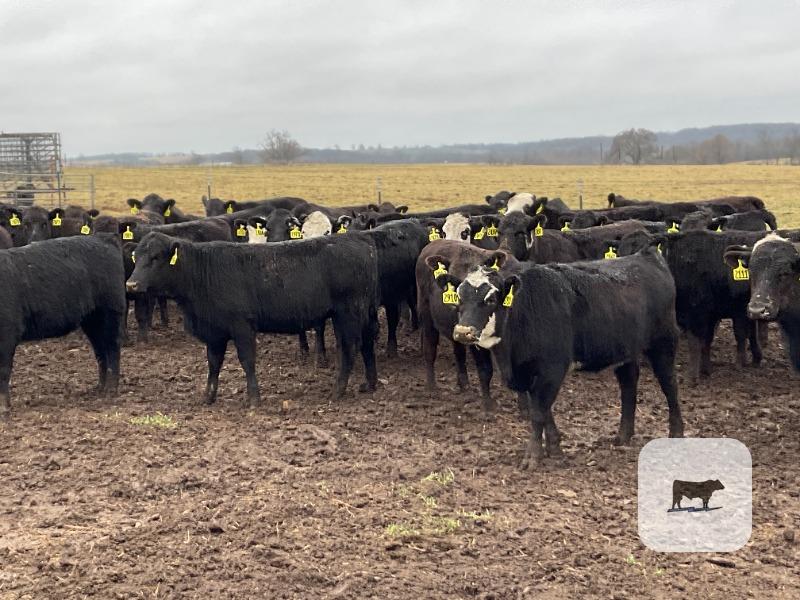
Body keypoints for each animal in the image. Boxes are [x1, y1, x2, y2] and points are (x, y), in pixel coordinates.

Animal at [0, 236, 125, 415]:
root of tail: (104, 239)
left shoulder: (7, 334)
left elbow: (3, 370)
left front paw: (3, 408)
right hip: (91, 320)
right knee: (100, 351)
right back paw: (99, 388)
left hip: (110, 312)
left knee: (112, 347)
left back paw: (110, 389)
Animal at [126, 233, 380, 406]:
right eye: (135, 257)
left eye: (156, 257)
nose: (131, 284)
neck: (202, 272)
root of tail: (359, 239)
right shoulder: (215, 332)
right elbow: (213, 363)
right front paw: (208, 396)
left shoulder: (242, 326)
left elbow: (247, 361)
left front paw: (253, 399)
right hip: (361, 313)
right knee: (366, 343)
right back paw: (369, 384)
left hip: (348, 313)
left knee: (349, 348)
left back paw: (337, 391)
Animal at [447, 247, 684, 467]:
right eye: (459, 297)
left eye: (490, 299)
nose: (462, 332)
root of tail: (646, 254)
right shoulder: (531, 374)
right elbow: (543, 410)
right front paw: (554, 448)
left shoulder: (552, 369)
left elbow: (538, 412)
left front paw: (533, 457)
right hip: (626, 350)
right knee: (628, 385)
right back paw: (623, 436)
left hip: (663, 343)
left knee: (670, 385)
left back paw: (676, 433)